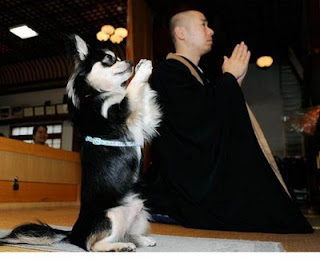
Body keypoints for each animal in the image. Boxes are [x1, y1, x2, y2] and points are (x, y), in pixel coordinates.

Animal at [0, 34, 160, 252]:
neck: (98, 93)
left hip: (139, 210)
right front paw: (143, 71)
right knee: (92, 244)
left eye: (119, 58)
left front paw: (145, 68)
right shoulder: (118, 112)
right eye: (110, 59)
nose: (129, 61)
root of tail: (73, 233)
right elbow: (131, 90)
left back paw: (140, 240)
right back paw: (121, 246)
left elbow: (144, 100)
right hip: (111, 215)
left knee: (125, 233)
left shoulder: (143, 122)